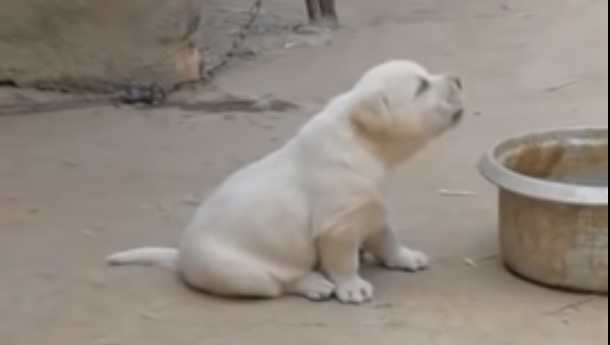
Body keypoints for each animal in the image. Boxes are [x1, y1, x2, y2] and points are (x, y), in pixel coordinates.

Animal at [107, 59, 464, 304]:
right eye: (421, 87)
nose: (458, 78)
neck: (364, 143)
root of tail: (180, 259)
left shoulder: (370, 211)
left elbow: (387, 239)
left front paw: (405, 257)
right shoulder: (337, 228)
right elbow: (344, 261)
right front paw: (352, 287)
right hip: (241, 273)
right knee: (280, 282)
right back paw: (315, 284)